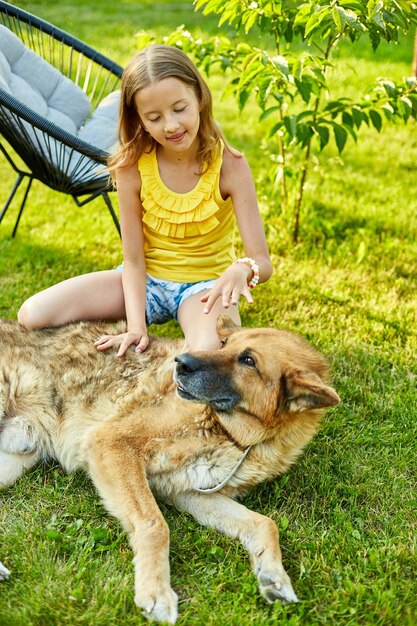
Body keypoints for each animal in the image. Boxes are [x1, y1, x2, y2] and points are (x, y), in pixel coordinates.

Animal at [0, 314, 338, 620]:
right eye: (223, 344)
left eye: (248, 360)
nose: (181, 363)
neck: (238, 438)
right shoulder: (111, 443)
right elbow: (154, 524)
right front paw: (156, 590)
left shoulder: (189, 491)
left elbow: (264, 523)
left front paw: (273, 575)